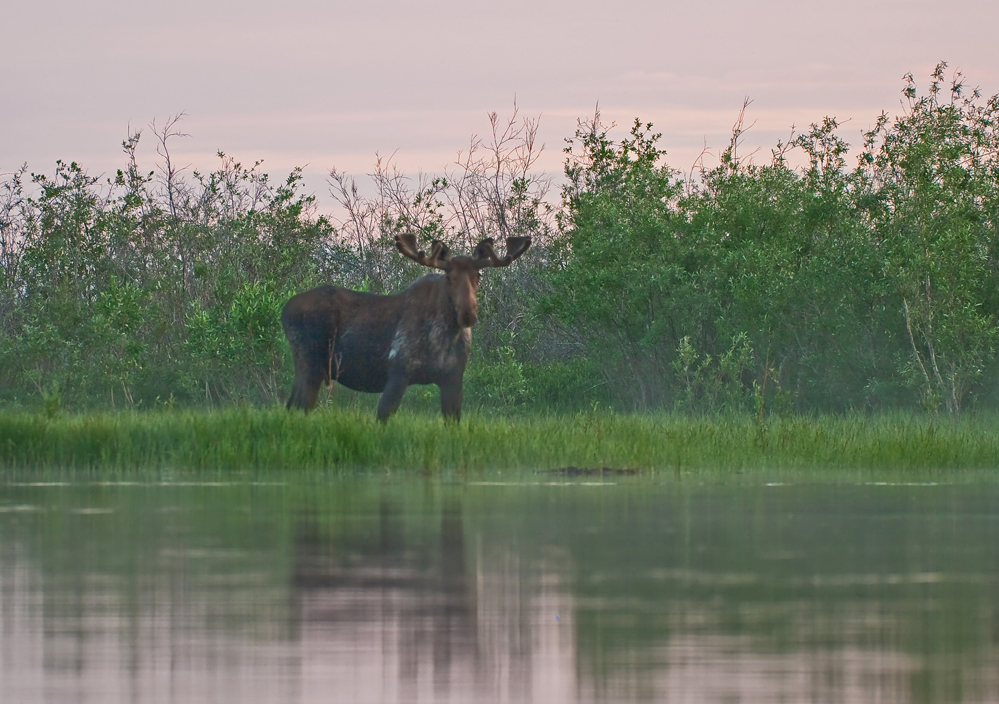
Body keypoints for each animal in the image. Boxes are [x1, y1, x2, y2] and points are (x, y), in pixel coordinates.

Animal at [282, 235, 532, 424]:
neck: (445, 339)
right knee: (299, 407)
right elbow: (383, 416)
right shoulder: (397, 372)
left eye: (478, 276)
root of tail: (284, 310)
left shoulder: (453, 379)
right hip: (310, 365)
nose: (468, 313)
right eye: (448, 277)